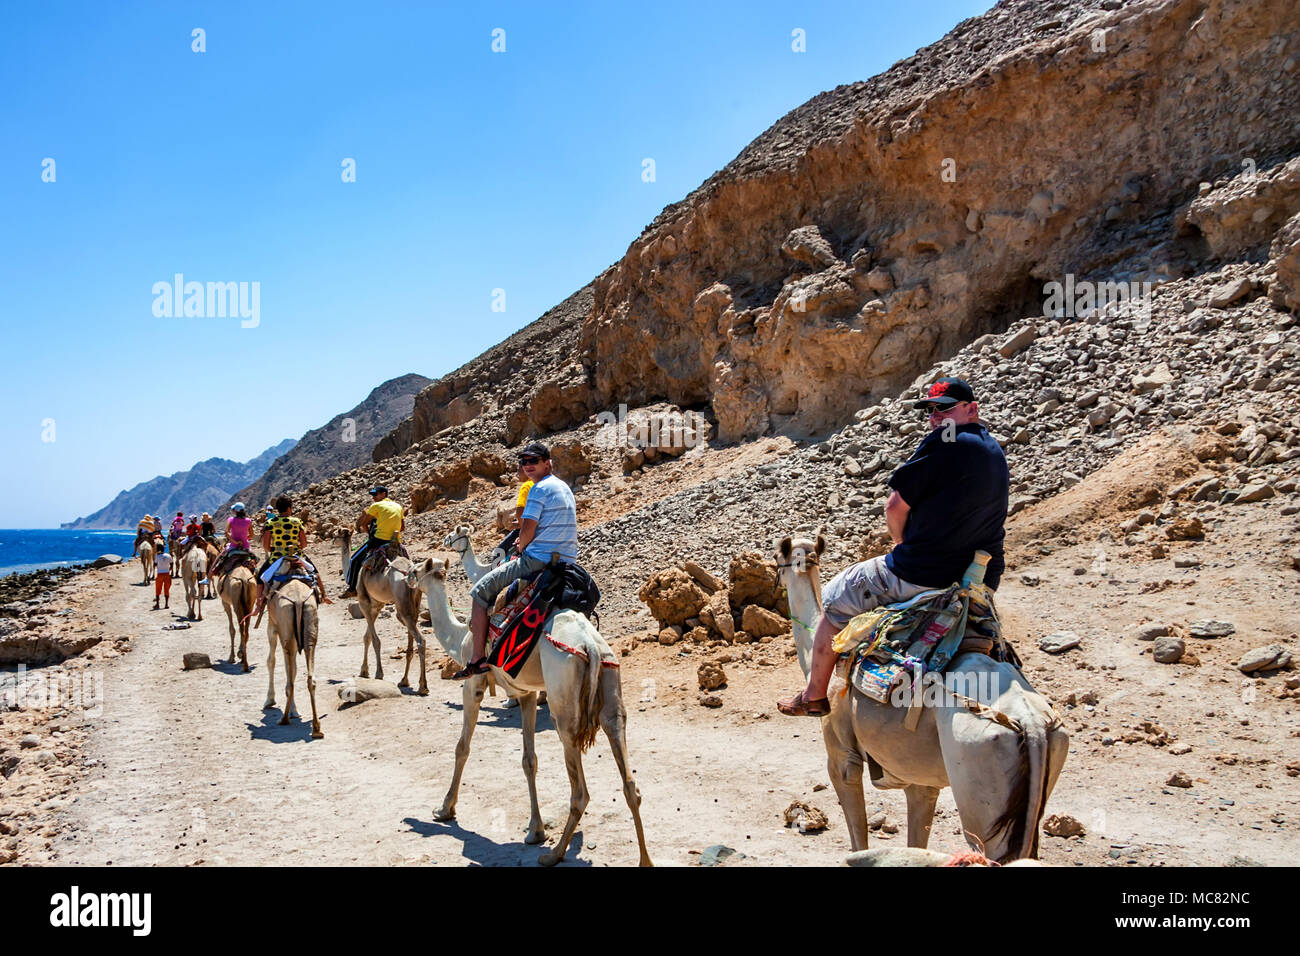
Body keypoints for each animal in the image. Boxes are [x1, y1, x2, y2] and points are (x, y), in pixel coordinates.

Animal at [258, 574, 319, 738]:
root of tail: (297, 601)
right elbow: (293, 670)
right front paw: (295, 711)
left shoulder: (272, 626)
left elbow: (271, 661)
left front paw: (269, 700)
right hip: (309, 628)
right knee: (310, 678)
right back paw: (317, 728)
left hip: (286, 633)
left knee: (290, 681)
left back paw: (284, 719)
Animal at [340, 530, 431, 697]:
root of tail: (409, 572)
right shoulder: (377, 605)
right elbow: (367, 637)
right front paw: (364, 670)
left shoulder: (364, 603)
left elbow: (375, 640)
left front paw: (377, 673)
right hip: (412, 604)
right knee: (412, 637)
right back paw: (405, 681)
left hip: (402, 605)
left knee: (420, 639)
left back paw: (423, 686)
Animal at [413, 556, 655, 868]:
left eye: (415, 570)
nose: (407, 579)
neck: (459, 638)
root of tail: (591, 646)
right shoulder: (526, 693)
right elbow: (529, 761)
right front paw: (535, 831)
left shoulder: (473, 684)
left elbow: (462, 748)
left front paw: (444, 809)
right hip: (611, 686)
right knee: (629, 782)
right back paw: (644, 860)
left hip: (563, 706)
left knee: (580, 791)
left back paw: (554, 854)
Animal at [769, 535, 1066, 863]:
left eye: (776, 557)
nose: (774, 580)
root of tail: (1030, 724)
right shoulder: (920, 781)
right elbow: (916, 840)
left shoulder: (841, 756)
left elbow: (858, 837)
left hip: (981, 786)